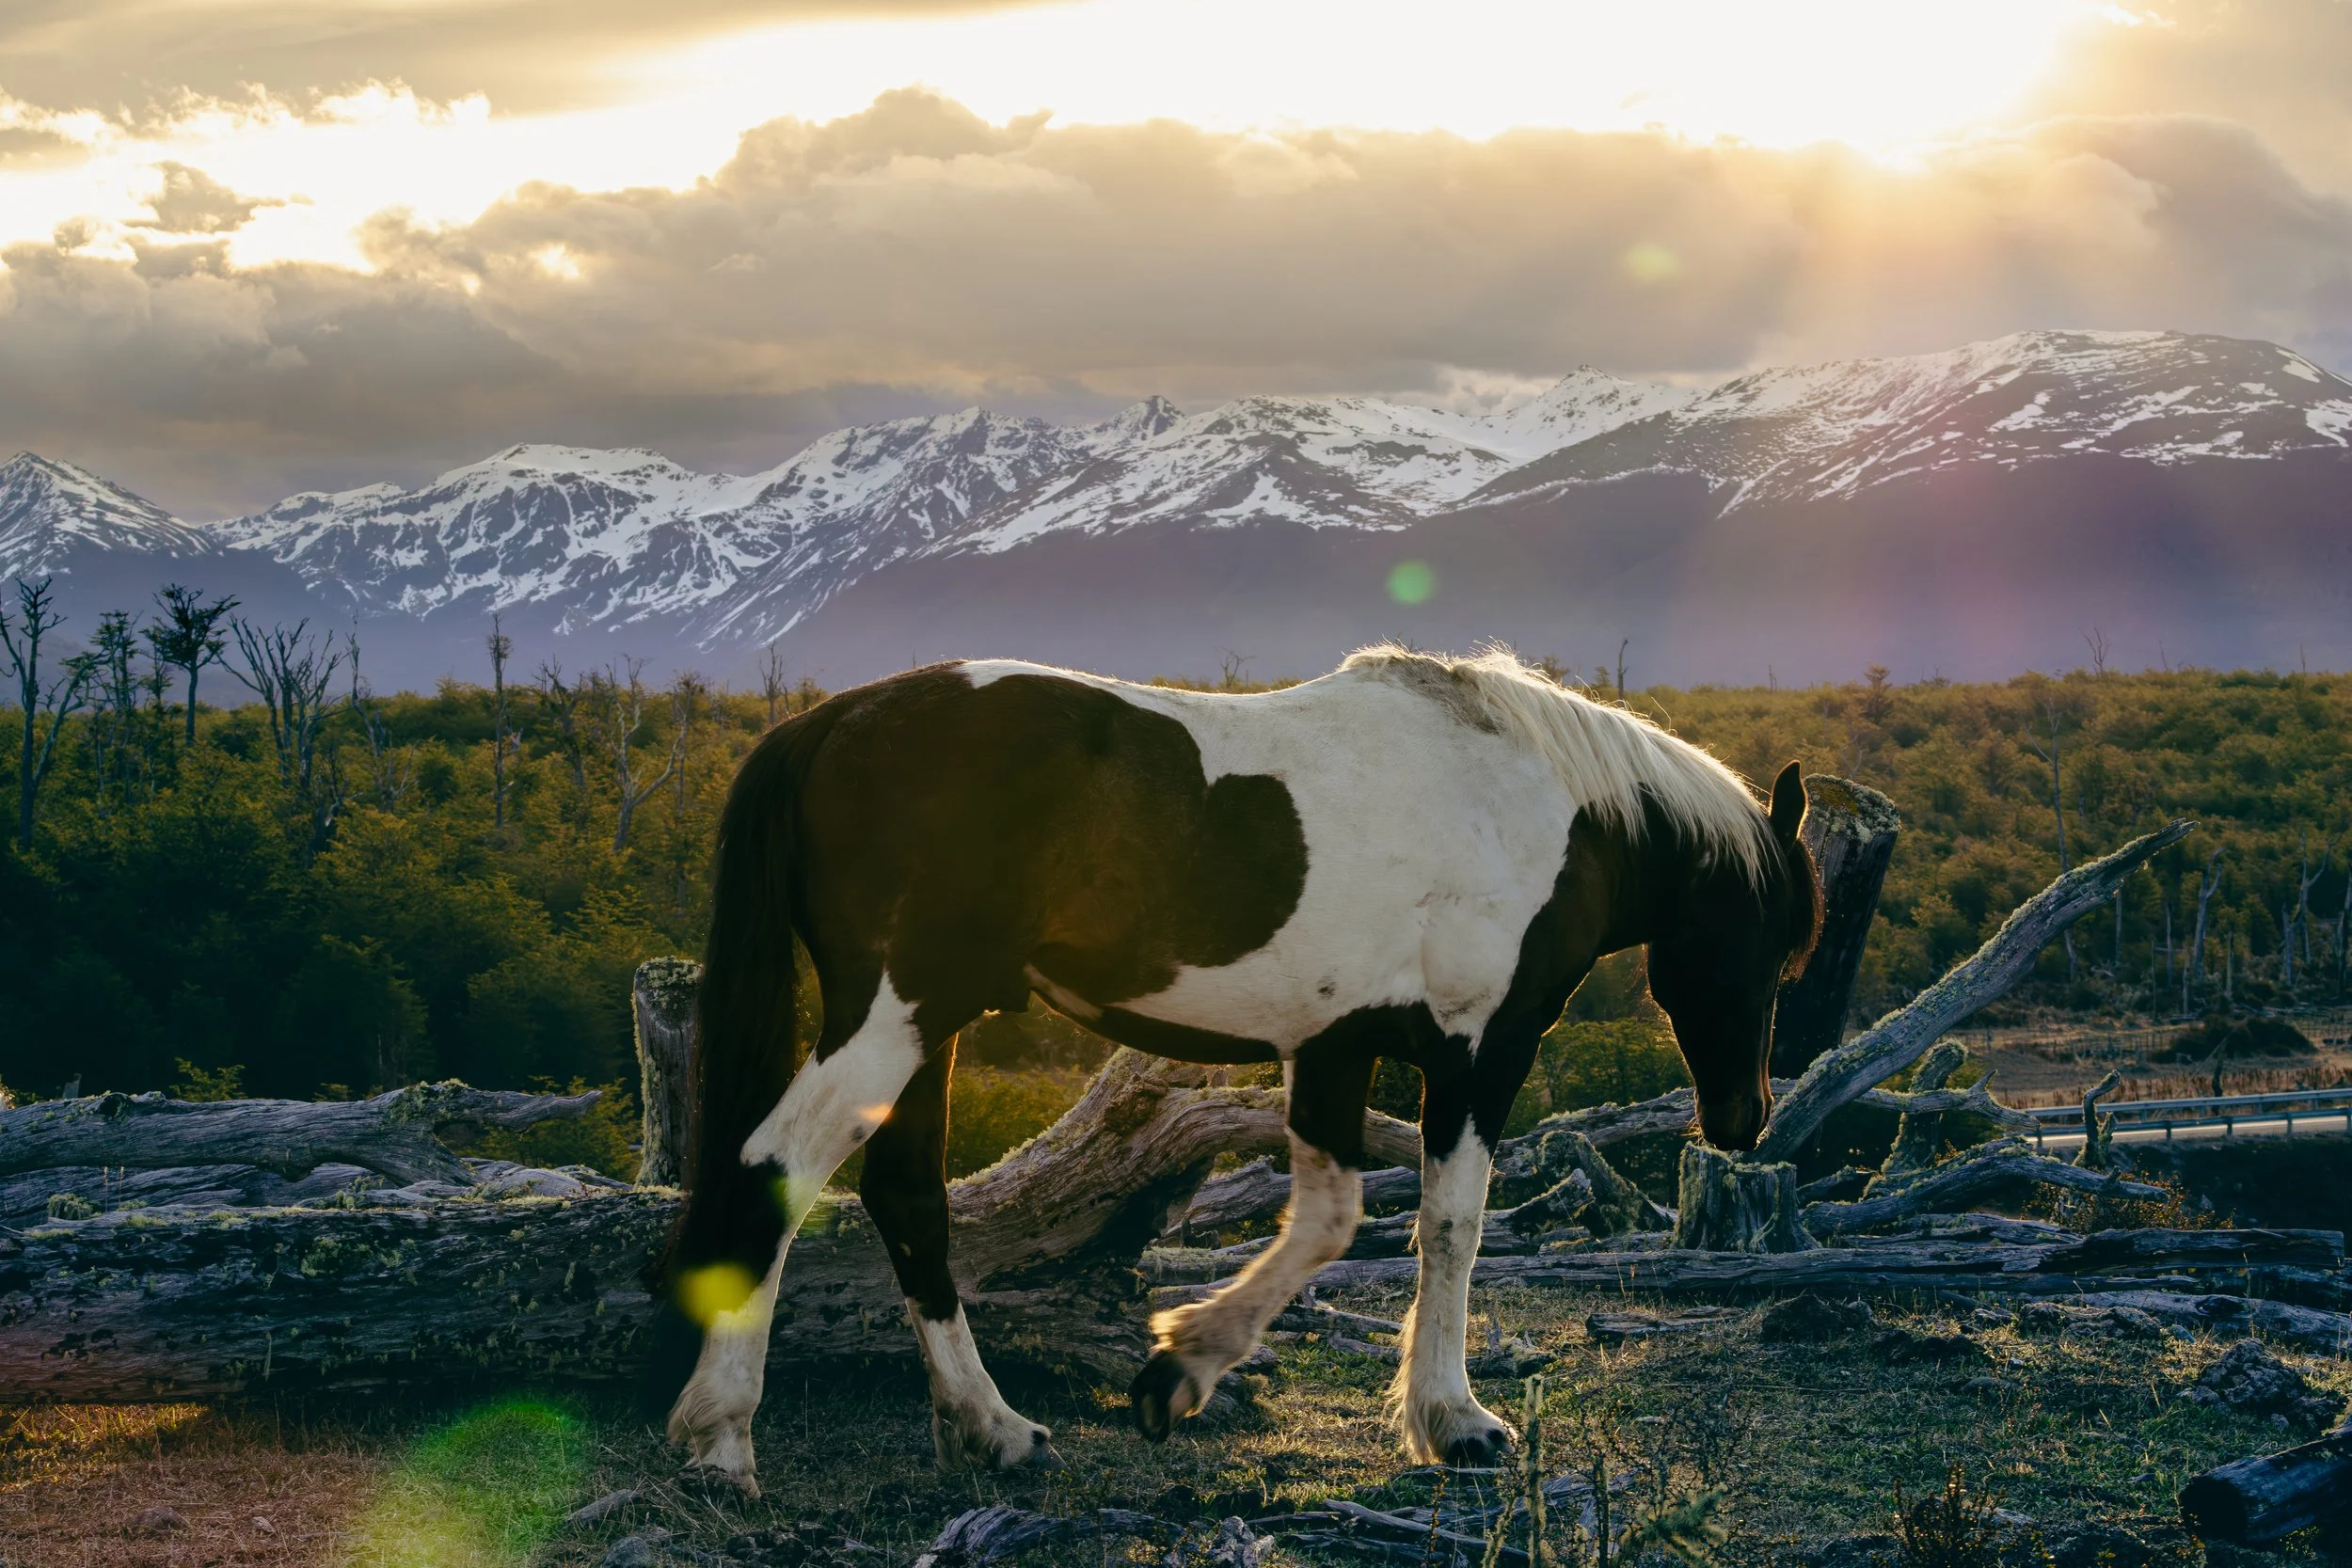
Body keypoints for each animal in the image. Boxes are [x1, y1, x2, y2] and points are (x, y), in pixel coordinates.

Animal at [651, 645, 1820, 1494]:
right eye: (1775, 945)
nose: (1742, 1117)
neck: (1532, 802)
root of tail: (824, 723)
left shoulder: (1334, 1047)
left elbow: (1329, 1218)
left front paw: (1181, 1365)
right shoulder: (1478, 1050)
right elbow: (1448, 1225)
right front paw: (1453, 1420)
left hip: (921, 1030)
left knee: (907, 1201)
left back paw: (994, 1428)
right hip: (895, 1014)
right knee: (776, 1164)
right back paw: (722, 1439)